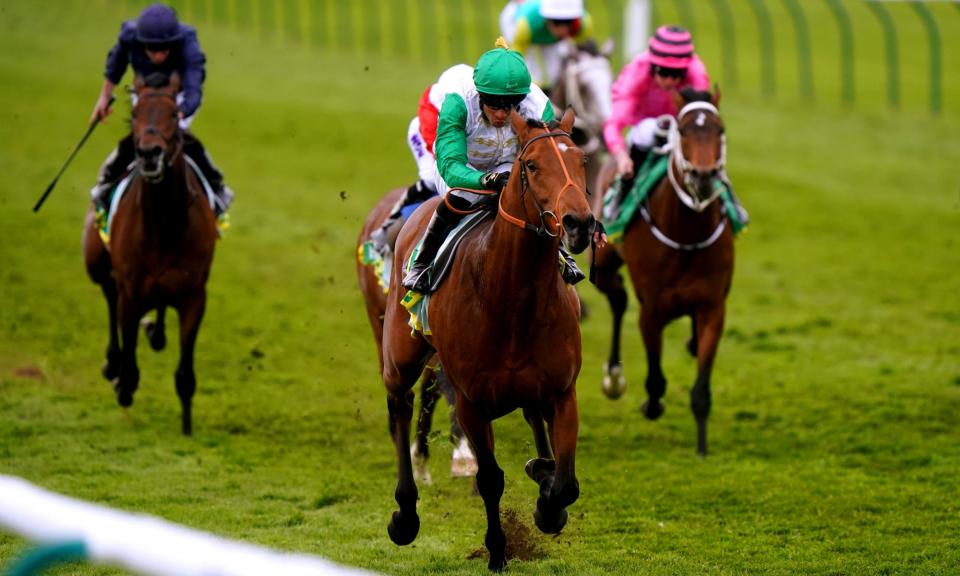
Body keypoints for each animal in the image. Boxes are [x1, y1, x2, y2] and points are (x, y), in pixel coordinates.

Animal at [81, 72, 218, 434]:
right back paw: (113, 362)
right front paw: (123, 382)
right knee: (109, 296)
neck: (165, 224)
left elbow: (185, 374)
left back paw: (155, 332)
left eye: (173, 113)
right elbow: (129, 352)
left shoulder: (193, 296)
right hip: (96, 261)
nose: (149, 153)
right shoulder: (131, 291)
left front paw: (187, 428)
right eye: (134, 113)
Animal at [380, 109, 592, 572]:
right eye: (531, 166)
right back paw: (405, 514)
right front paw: (497, 550)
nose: (580, 224)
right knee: (401, 406)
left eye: (582, 160)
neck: (511, 296)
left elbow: (566, 482)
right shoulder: (472, 401)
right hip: (399, 358)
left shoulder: (562, 390)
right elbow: (490, 478)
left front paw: (547, 503)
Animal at [592, 90, 736, 456]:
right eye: (683, 131)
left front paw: (702, 447)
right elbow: (655, 378)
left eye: (720, 129)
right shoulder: (651, 310)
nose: (702, 177)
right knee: (617, 298)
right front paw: (651, 404)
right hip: (602, 261)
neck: (686, 234)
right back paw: (614, 377)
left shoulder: (713, 308)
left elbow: (701, 387)